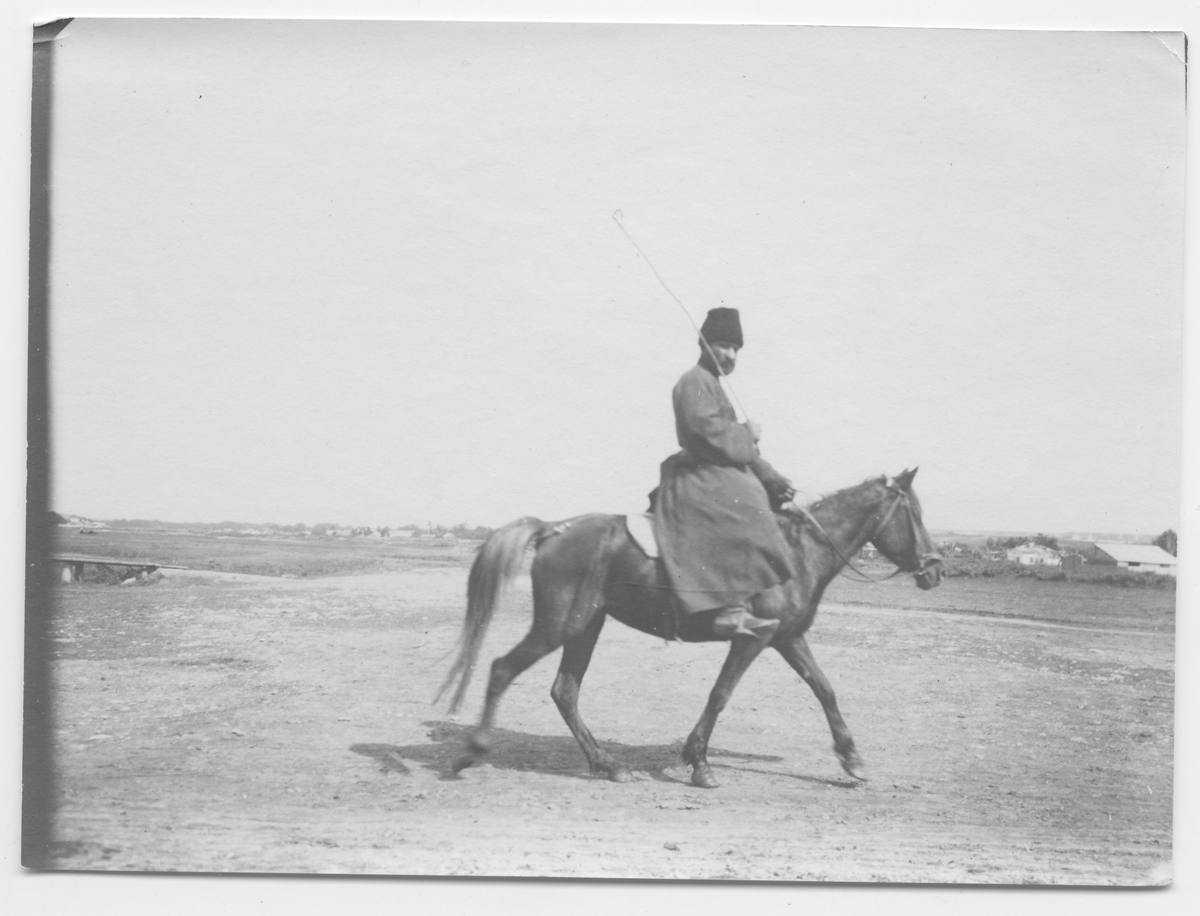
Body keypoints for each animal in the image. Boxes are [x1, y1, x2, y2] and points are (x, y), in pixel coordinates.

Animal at [437, 467, 943, 788]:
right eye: (915, 514)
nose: (936, 570)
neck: (796, 553)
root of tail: (555, 530)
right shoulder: (754, 639)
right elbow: (720, 695)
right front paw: (699, 762)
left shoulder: (788, 638)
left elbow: (825, 690)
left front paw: (852, 759)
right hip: (559, 626)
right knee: (503, 670)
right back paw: (470, 752)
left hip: (584, 627)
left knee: (565, 690)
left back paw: (607, 764)